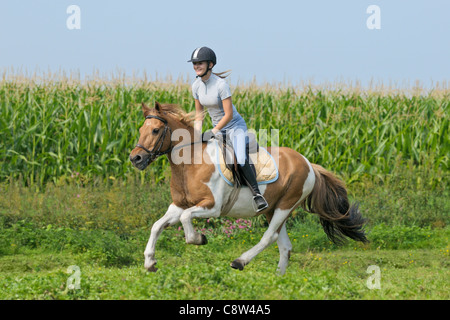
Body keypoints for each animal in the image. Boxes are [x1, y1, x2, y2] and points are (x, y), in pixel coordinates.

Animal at [130, 102, 370, 276]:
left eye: (155, 130)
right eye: (140, 129)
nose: (135, 158)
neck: (191, 162)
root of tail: (309, 163)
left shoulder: (212, 207)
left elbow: (186, 219)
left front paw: (199, 239)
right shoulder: (179, 205)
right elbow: (157, 226)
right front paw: (150, 262)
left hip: (285, 205)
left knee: (269, 237)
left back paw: (240, 262)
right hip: (274, 209)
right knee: (284, 245)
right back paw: (278, 279)